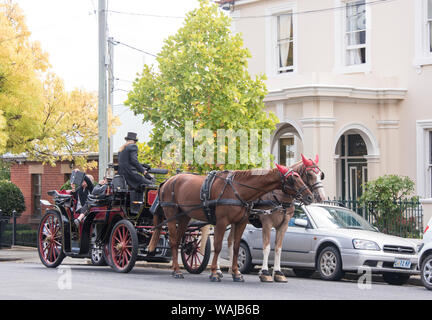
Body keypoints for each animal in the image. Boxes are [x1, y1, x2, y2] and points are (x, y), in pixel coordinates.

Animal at [148, 166, 314, 282]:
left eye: (300, 176)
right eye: (292, 179)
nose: (310, 196)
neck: (239, 189)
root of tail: (168, 180)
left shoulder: (241, 222)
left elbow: (236, 247)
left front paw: (236, 273)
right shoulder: (223, 222)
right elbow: (218, 246)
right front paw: (215, 273)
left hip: (184, 217)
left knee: (178, 240)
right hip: (171, 215)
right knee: (174, 241)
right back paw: (177, 270)